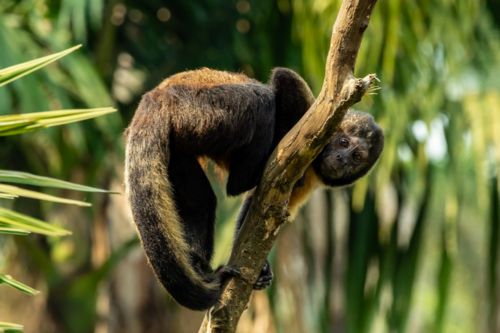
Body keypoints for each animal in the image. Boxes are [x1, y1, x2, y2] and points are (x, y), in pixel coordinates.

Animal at [124, 66, 382, 310]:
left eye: (357, 157)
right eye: (343, 143)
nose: (342, 159)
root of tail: (156, 96)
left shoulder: (307, 183)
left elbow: (258, 211)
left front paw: (262, 271)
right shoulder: (316, 120)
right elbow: (285, 79)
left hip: (179, 147)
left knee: (202, 200)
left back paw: (201, 267)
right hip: (198, 109)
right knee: (260, 100)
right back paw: (246, 177)